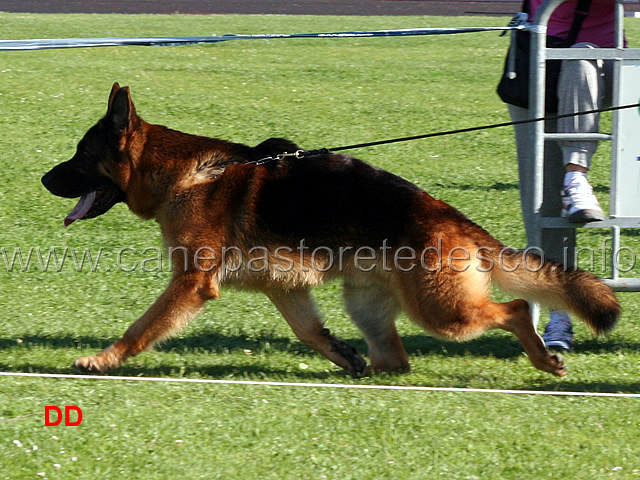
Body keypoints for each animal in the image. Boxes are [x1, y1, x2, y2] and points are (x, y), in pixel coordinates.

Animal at [41, 84, 620, 376]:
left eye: (80, 157)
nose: (43, 178)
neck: (184, 174)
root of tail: (454, 218)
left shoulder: (189, 284)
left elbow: (141, 328)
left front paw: (103, 360)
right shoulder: (285, 289)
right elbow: (309, 331)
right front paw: (341, 354)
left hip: (442, 311)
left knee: (517, 308)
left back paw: (543, 356)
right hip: (368, 303)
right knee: (396, 360)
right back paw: (367, 369)